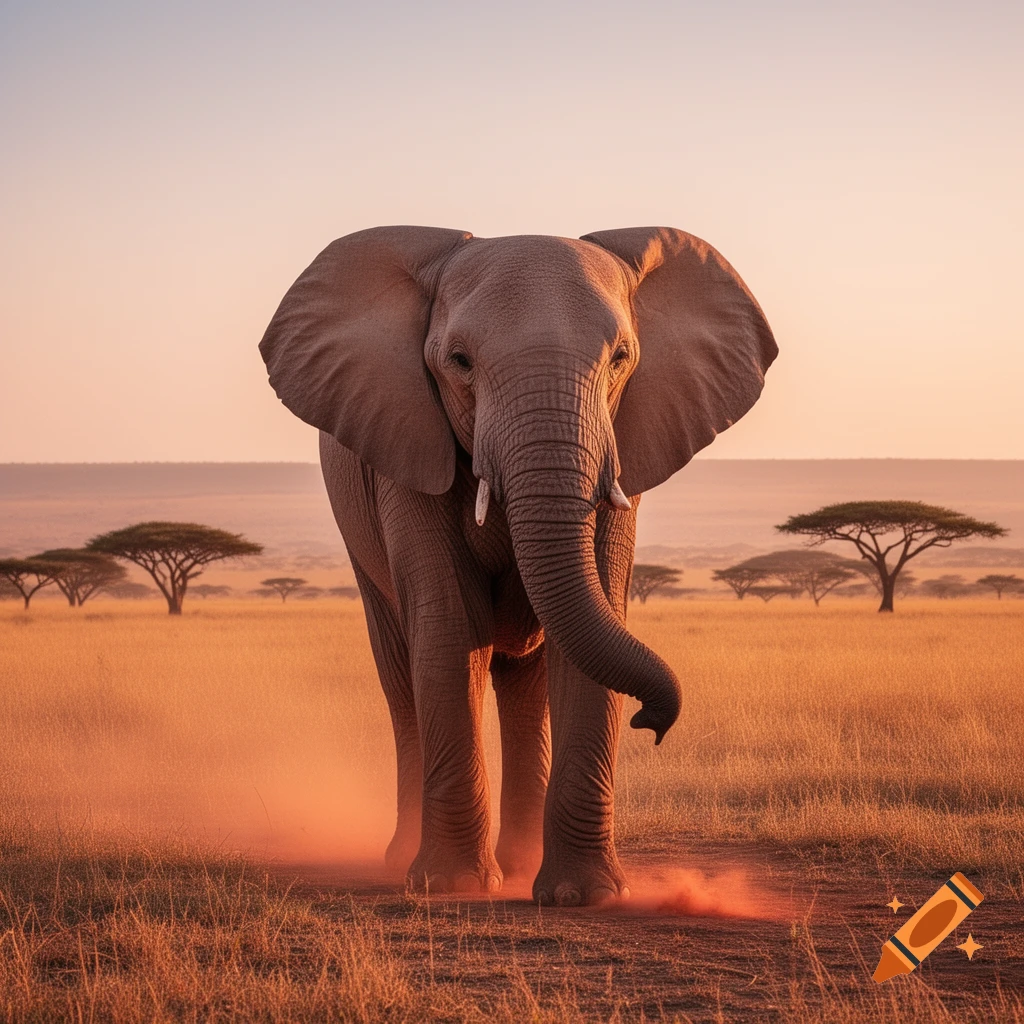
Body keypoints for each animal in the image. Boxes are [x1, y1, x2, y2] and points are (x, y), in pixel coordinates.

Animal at [259, 226, 777, 905]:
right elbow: (451, 631)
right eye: (459, 362)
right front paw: (450, 886)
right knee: (402, 673)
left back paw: (522, 861)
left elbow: (591, 624)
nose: (653, 721)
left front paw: (584, 896)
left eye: (620, 359)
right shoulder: (407, 448)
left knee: (526, 680)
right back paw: (405, 862)